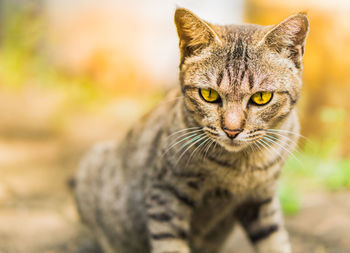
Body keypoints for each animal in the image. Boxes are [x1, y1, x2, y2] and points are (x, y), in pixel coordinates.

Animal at [74, 7, 308, 253]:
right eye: (209, 95)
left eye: (261, 97)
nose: (232, 130)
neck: (241, 167)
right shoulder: (165, 193)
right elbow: (170, 244)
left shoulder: (261, 199)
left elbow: (274, 240)